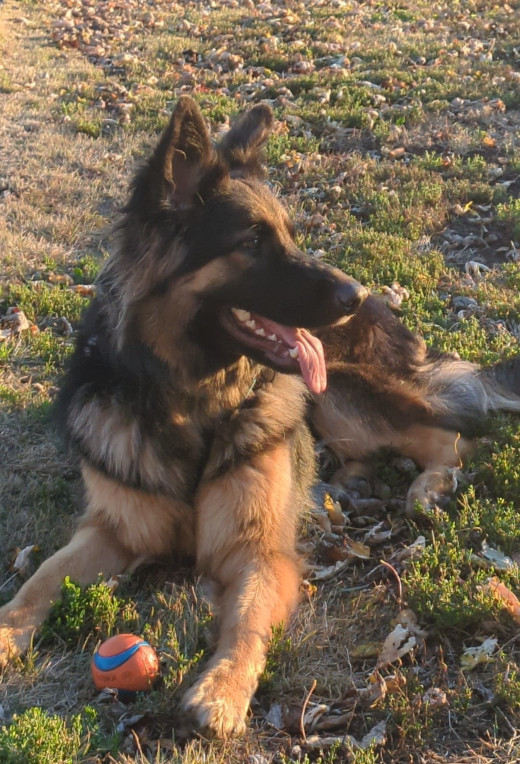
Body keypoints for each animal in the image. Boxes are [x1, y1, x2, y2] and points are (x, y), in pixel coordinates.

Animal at [1, 97, 520, 740]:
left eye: (291, 236)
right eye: (251, 240)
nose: (353, 294)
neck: (192, 401)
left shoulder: (257, 550)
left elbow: (245, 620)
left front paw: (221, 691)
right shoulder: (113, 529)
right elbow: (42, 578)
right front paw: (7, 630)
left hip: (339, 395)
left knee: (445, 433)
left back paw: (426, 488)